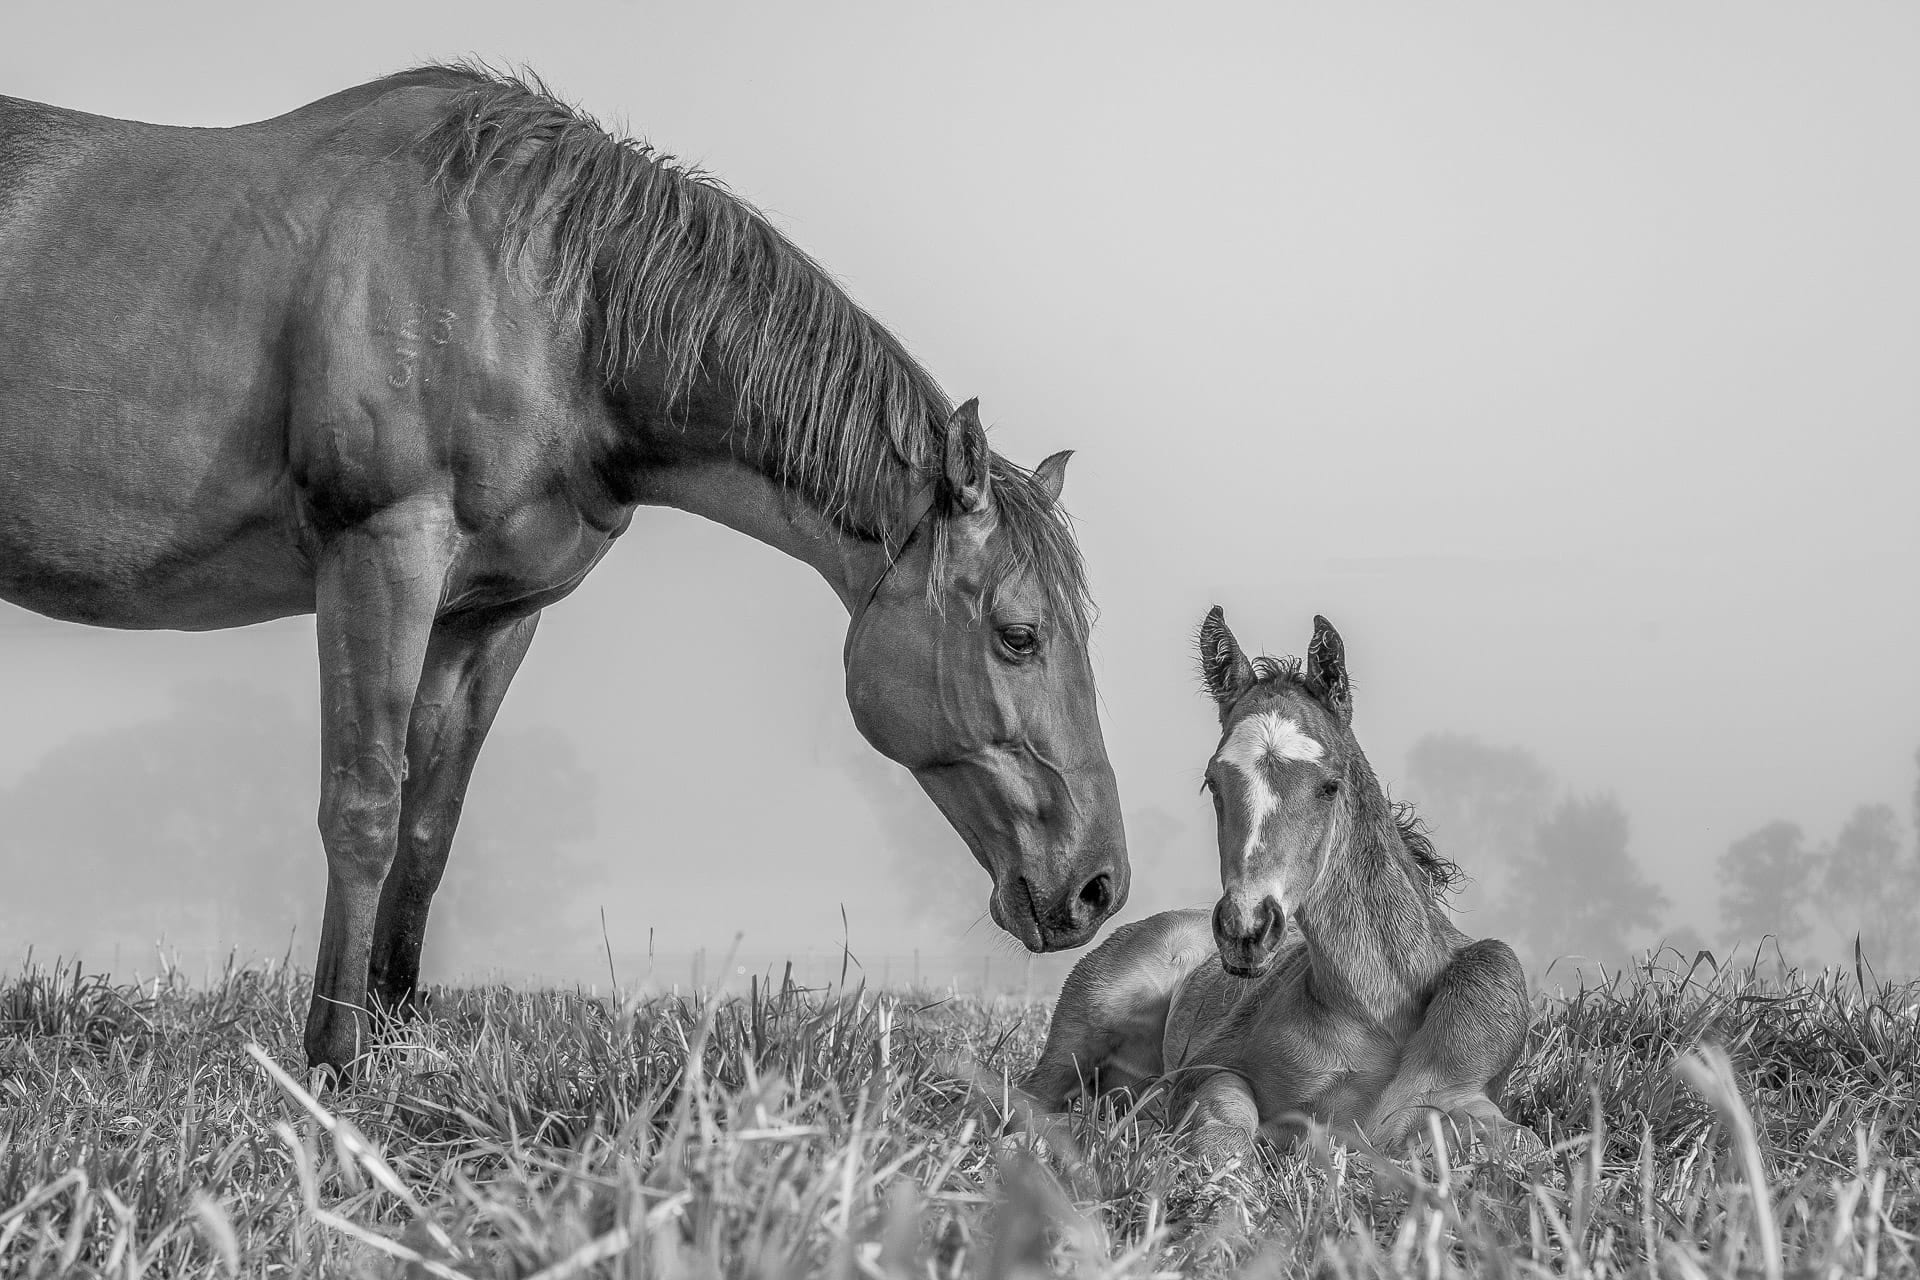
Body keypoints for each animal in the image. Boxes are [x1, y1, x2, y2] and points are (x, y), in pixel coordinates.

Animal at [0, 65, 1129, 1074]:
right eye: (1019, 635)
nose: (1099, 888)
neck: (549, 305)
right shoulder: (381, 557)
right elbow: (363, 807)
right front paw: (333, 1060)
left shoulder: (493, 612)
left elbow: (430, 825)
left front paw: (395, 1042)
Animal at [1018, 610, 1533, 1166]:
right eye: (1213, 783)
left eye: (1330, 785)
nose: (1246, 928)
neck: (1377, 1006)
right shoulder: (1206, 1071)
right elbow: (1224, 1134)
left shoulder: (1462, 1091)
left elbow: (1508, 1138)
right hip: (1084, 1024)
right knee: (1027, 1099)